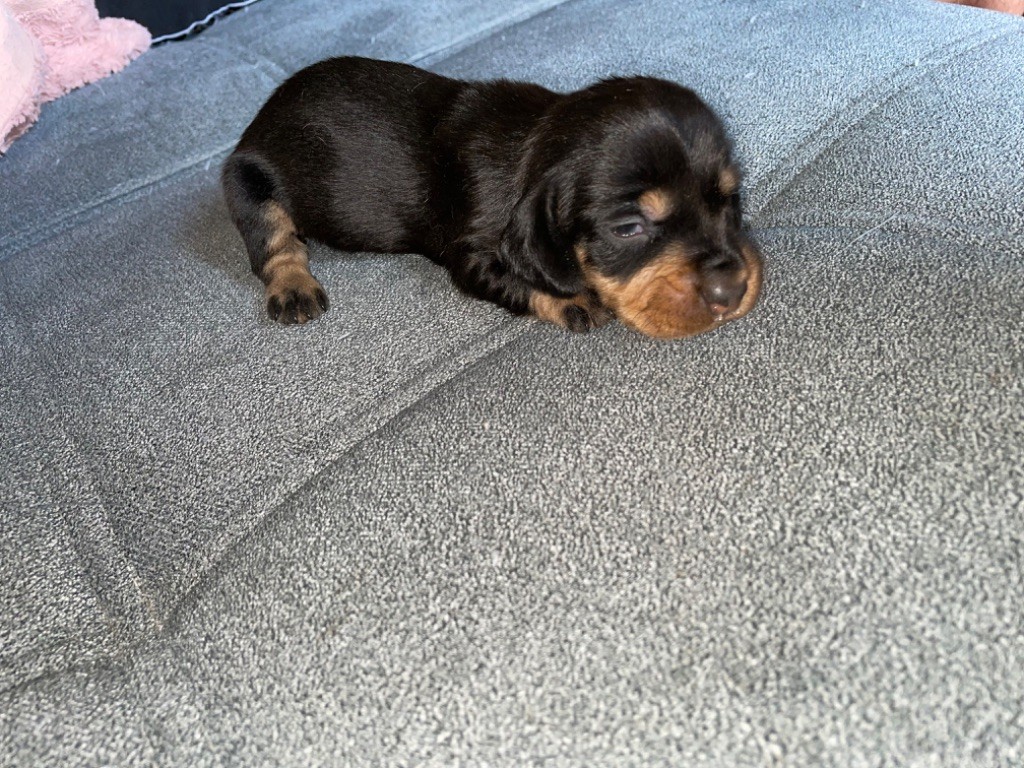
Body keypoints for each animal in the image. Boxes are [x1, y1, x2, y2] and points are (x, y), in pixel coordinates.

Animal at [222, 56, 762, 339]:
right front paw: (575, 300)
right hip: (245, 181)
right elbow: (522, 281)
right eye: (629, 228)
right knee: (275, 244)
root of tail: (264, 112)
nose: (733, 289)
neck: (536, 142)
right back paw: (293, 289)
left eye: (730, 200)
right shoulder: (474, 255)